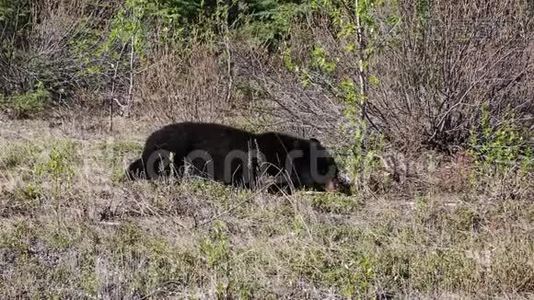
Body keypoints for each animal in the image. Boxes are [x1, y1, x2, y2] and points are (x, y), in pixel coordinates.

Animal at [125, 122, 352, 195]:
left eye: (336, 169)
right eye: (326, 169)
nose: (341, 185)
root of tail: (149, 138)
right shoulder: (262, 166)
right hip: (173, 147)